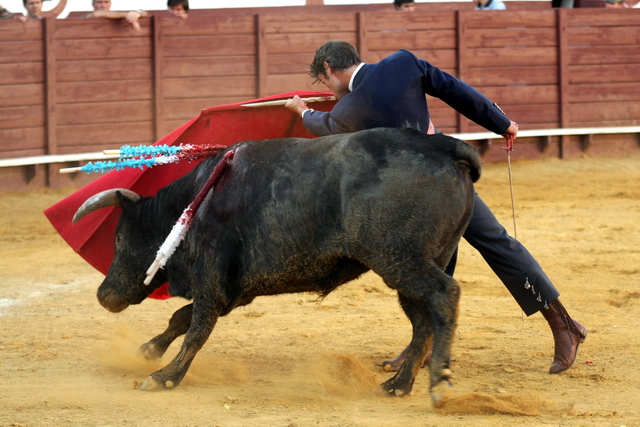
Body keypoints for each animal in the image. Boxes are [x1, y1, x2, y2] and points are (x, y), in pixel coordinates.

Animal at [74, 126, 480, 404]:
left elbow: (196, 329)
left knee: (445, 296)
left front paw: (165, 376)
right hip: (416, 264)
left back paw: (437, 384)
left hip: (399, 260)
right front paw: (148, 350)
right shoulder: (234, 290)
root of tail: (445, 146)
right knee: (423, 321)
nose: (103, 294)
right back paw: (400, 384)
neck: (193, 204)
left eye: (119, 240)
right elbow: (181, 319)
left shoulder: (211, 279)